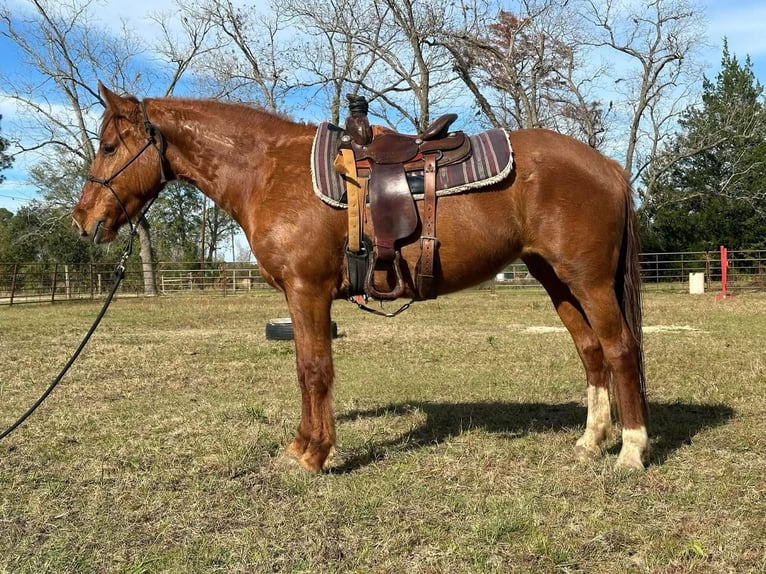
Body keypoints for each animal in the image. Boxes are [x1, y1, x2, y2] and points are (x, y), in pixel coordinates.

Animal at [73, 84, 648, 472]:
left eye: (108, 147)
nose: (83, 219)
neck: (266, 169)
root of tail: (608, 166)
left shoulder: (307, 291)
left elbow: (313, 370)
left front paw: (313, 455)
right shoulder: (301, 297)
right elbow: (305, 370)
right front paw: (303, 446)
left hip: (589, 281)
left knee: (619, 348)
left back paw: (632, 450)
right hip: (555, 279)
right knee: (591, 351)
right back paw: (592, 441)